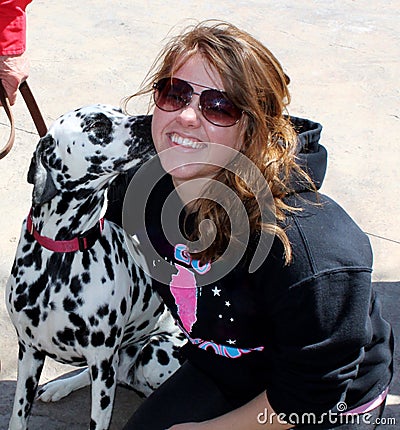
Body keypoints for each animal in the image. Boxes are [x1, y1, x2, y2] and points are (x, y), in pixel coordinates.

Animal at [5, 105, 186, 430]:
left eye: (120, 111)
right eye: (97, 125)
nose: (150, 121)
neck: (60, 256)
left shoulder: (102, 361)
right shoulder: (28, 352)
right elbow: (18, 415)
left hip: (152, 355)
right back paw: (60, 386)